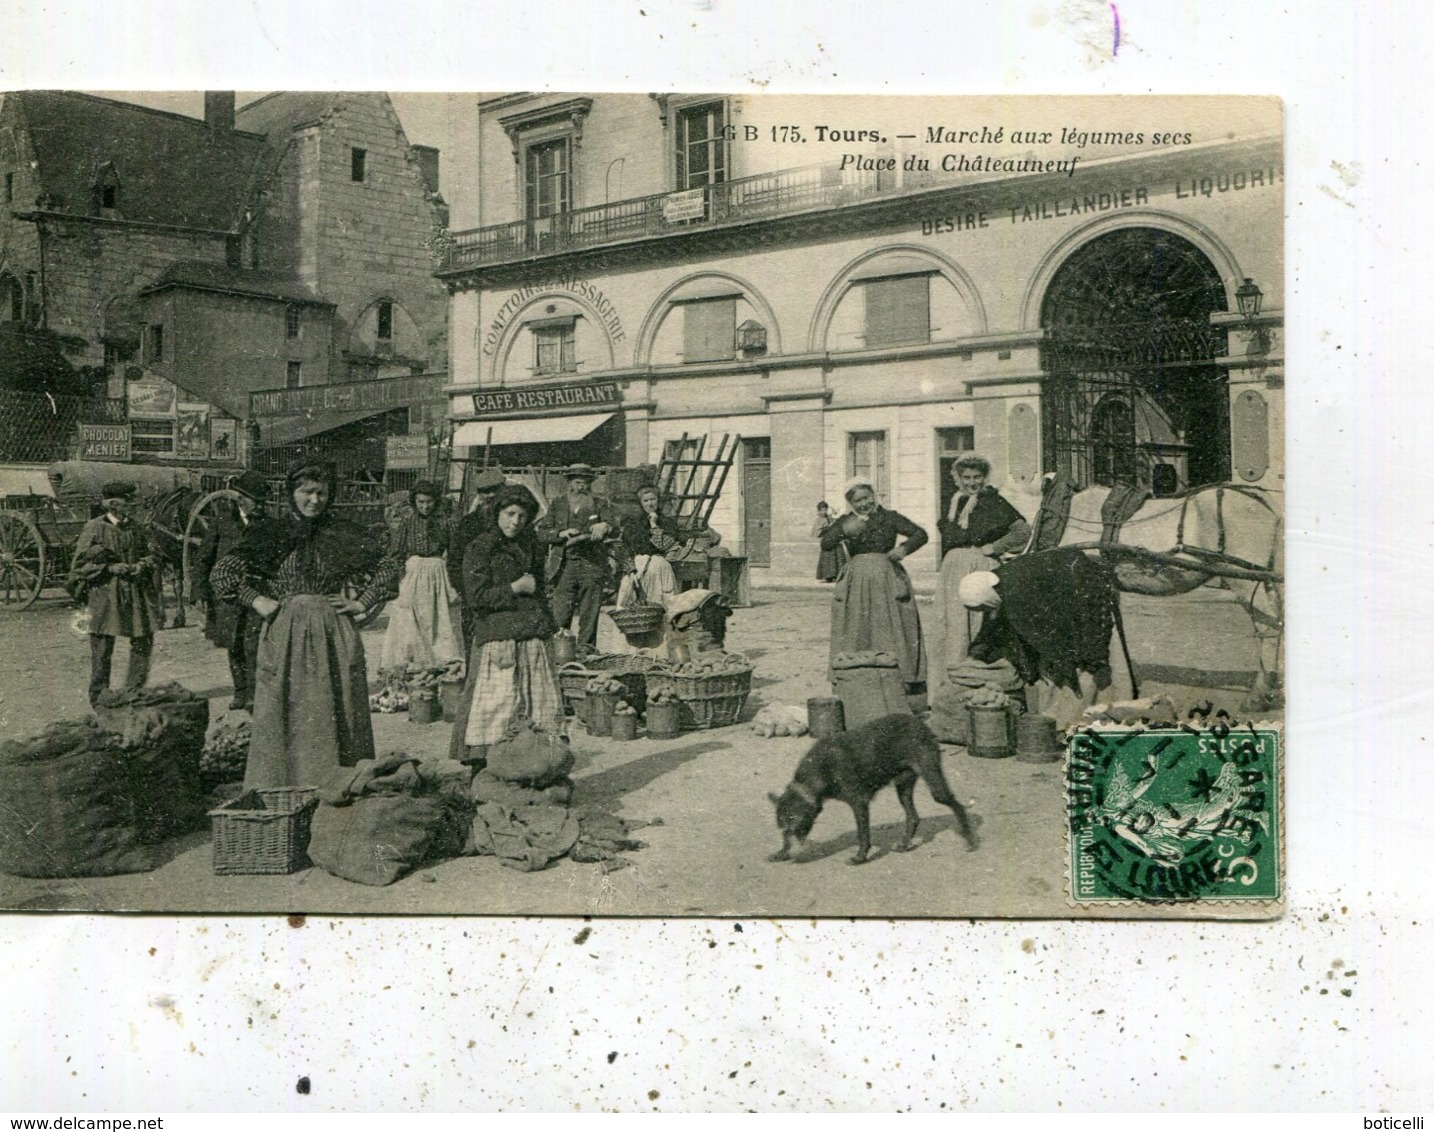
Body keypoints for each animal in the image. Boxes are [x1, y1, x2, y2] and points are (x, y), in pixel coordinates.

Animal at [768, 714, 980, 866]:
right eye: (783, 829)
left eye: (795, 825)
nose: (792, 852)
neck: (820, 770)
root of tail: (920, 724)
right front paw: (781, 852)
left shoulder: (859, 803)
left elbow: (863, 835)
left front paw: (860, 857)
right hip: (903, 787)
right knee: (913, 817)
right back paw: (904, 844)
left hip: (934, 784)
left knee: (958, 806)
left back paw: (970, 840)